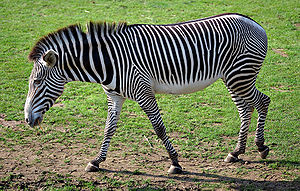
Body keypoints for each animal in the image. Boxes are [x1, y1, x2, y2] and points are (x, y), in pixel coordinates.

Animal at [24, 13, 270, 174]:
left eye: (36, 82)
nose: (27, 119)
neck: (107, 63)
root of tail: (256, 24)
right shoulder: (114, 96)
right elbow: (108, 128)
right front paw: (97, 161)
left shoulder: (144, 92)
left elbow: (159, 128)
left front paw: (175, 163)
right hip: (232, 78)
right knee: (246, 108)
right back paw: (236, 152)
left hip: (240, 75)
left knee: (263, 101)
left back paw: (261, 147)